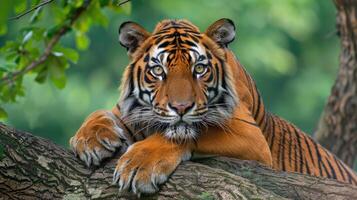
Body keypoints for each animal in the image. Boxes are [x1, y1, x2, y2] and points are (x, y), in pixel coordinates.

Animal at [69, 18, 356, 194]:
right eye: (158, 71)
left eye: (199, 69)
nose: (181, 107)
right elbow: (100, 113)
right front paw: (90, 139)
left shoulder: (251, 136)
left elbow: (185, 133)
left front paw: (139, 165)